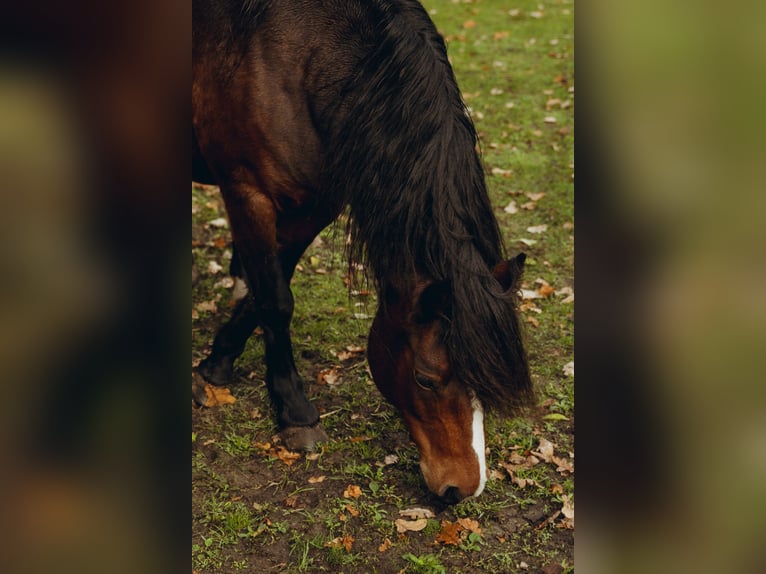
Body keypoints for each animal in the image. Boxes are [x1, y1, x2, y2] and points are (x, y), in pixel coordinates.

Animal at [192, 0, 533, 502]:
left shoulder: (316, 203)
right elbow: (275, 301)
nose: (463, 488)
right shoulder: (247, 191)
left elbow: (271, 286)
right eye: (426, 379)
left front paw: (221, 357)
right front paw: (293, 411)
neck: (294, 56)